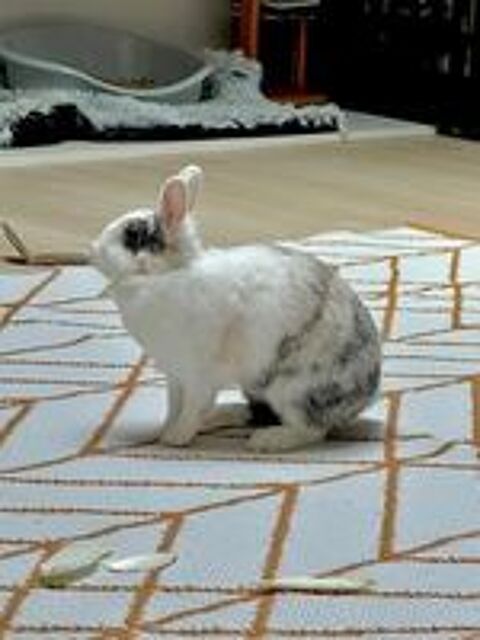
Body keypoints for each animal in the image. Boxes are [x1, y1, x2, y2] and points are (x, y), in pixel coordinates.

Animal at [90, 164, 382, 452]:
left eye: (131, 235)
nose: (93, 249)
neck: (162, 276)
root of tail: (364, 396)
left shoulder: (198, 374)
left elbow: (192, 407)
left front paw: (175, 438)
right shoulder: (175, 374)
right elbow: (174, 406)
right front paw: (165, 430)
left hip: (292, 389)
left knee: (311, 430)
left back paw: (266, 441)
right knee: (257, 413)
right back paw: (221, 417)